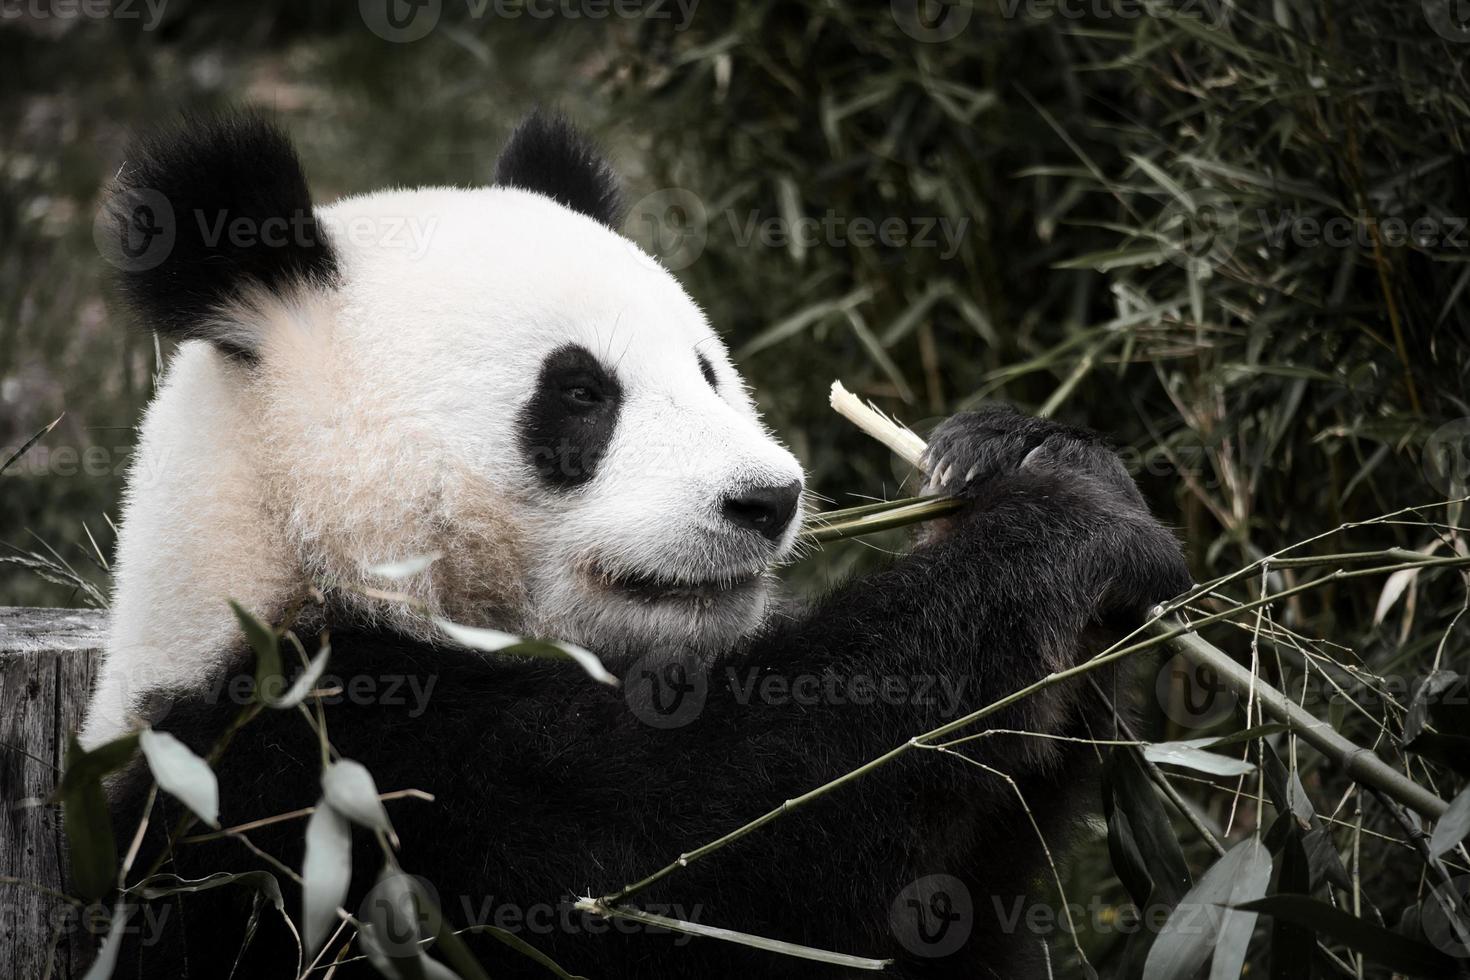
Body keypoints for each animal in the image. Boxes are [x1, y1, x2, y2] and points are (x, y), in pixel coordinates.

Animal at [85, 113, 1193, 980]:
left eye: (707, 370)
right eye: (581, 392)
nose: (766, 500)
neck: (286, 558)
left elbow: (936, 910)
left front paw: (1018, 452)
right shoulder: (331, 772)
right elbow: (698, 847)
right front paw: (1064, 527)